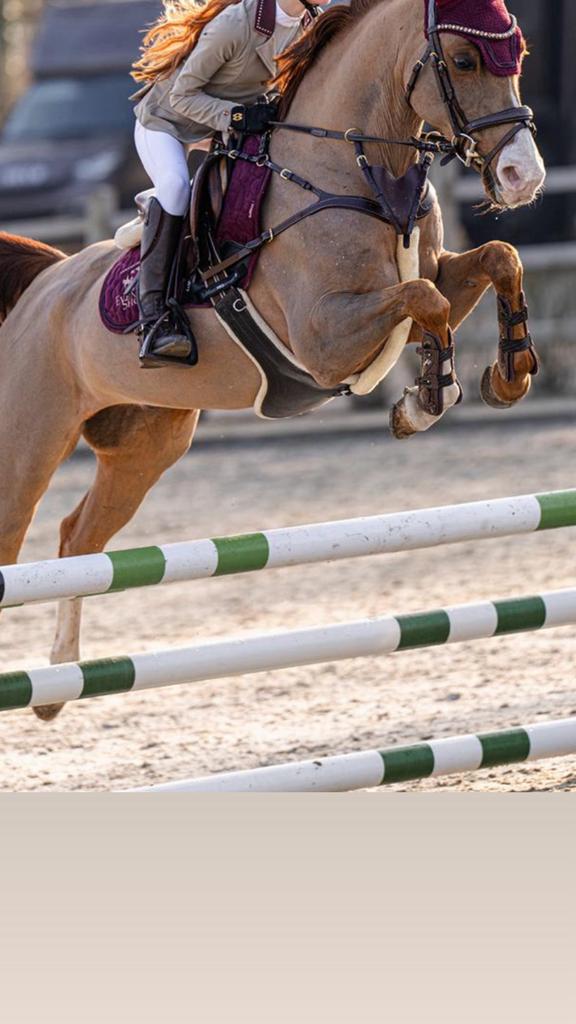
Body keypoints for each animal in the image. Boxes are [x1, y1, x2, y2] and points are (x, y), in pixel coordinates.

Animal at [0, 0, 545, 720]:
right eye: (463, 60)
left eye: (520, 55)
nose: (524, 176)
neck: (358, 172)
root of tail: (43, 284)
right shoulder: (324, 339)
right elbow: (422, 300)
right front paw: (426, 400)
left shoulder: (433, 286)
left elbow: (495, 262)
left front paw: (506, 375)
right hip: (28, 448)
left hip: (147, 444)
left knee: (76, 540)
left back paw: (57, 683)